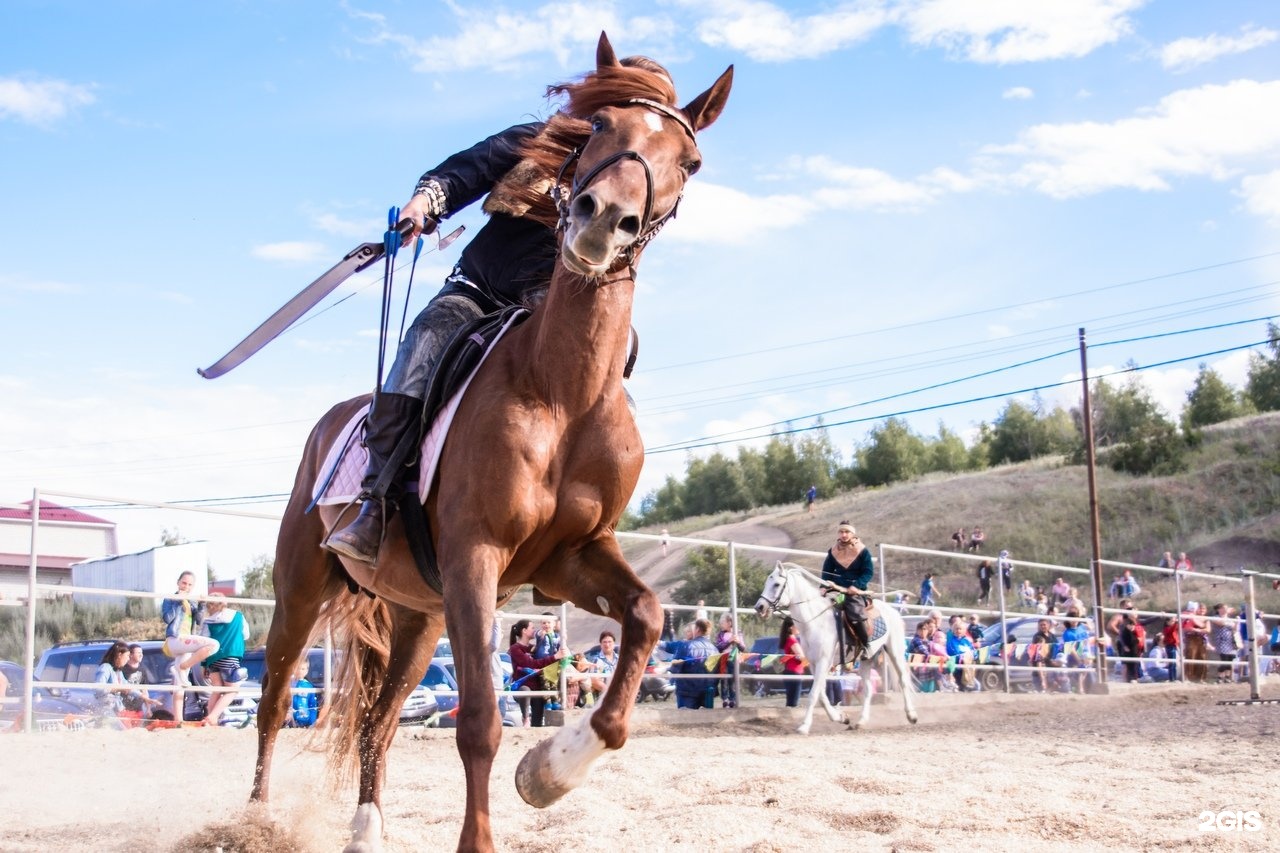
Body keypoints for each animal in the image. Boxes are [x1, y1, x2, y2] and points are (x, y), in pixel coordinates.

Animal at [249, 33, 732, 850]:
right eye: (596, 126)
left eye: (690, 160)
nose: (605, 218)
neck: (562, 391)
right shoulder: (476, 559)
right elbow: (478, 721)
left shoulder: (568, 558)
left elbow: (646, 617)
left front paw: (551, 770)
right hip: (301, 590)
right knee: (276, 703)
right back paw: (250, 818)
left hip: (415, 617)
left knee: (378, 721)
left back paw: (366, 826)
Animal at [747, 558, 921, 732]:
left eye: (776, 584)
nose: (759, 607)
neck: (814, 622)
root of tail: (893, 611)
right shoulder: (815, 664)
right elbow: (821, 695)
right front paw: (840, 717)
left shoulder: (824, 661)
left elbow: (814, 694)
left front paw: (804, 725)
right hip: (866, 660)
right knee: (868, 690)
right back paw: (861, 722)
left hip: (895, 652)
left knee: (903, 680)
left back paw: (912, 716)